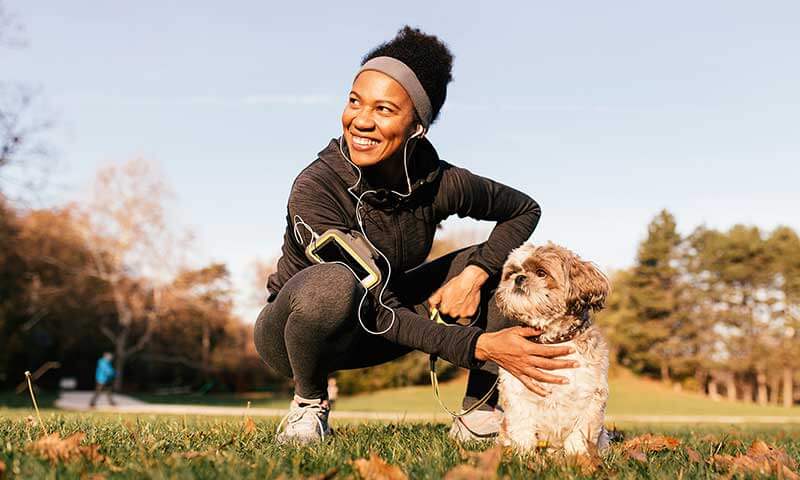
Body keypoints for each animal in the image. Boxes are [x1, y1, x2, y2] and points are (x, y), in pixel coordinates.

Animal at [494, 242, 612, 456]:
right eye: (512, 272)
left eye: (541, 273)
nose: (519, 277)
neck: (553, 341)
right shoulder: (518, 395)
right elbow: (522, 428)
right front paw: (522, 455)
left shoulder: (590, 397)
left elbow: (580, 434)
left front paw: (578, 457)